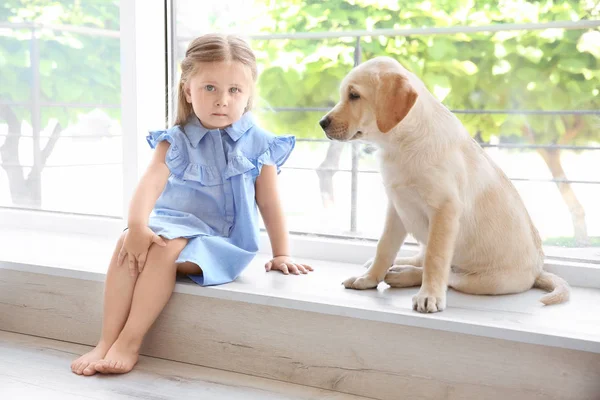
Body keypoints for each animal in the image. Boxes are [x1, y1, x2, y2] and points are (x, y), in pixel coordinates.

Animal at [318, 55, 568, 312]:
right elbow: (384, 247)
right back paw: (396, 266)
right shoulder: (397, 207)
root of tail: (538, 271)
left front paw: (429, 295)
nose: (322, 123)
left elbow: (435, 260)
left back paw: (403, 275)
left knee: (449, 274)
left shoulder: (444, 210)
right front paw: (369, 278)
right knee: (419, 257)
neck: (401, 145)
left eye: (354, 95)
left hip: (488, 281)